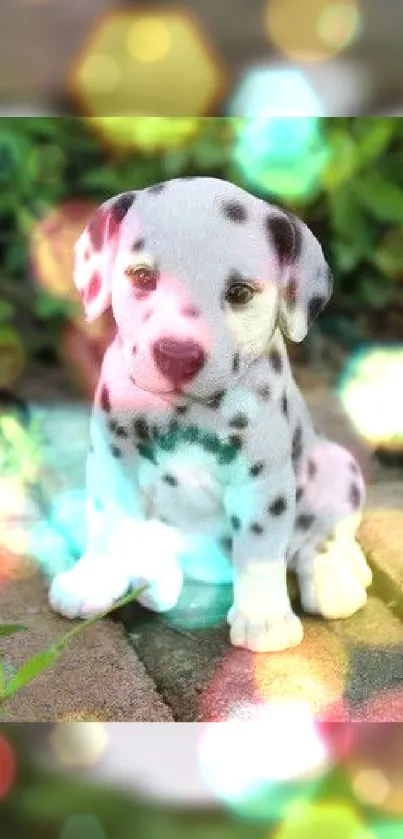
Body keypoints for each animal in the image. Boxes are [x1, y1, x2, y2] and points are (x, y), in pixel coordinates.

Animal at [49, 177, 374, 652]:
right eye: (142, 276)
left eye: (239, 293)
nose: (177, 354)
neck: (185, 414)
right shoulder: (111, 462)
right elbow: (107, 523)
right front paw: (91, 582)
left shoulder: (262, 484)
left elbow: (259, 549)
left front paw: (263, 617)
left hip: (337, 465)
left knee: (327, 530)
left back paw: (336, 573)